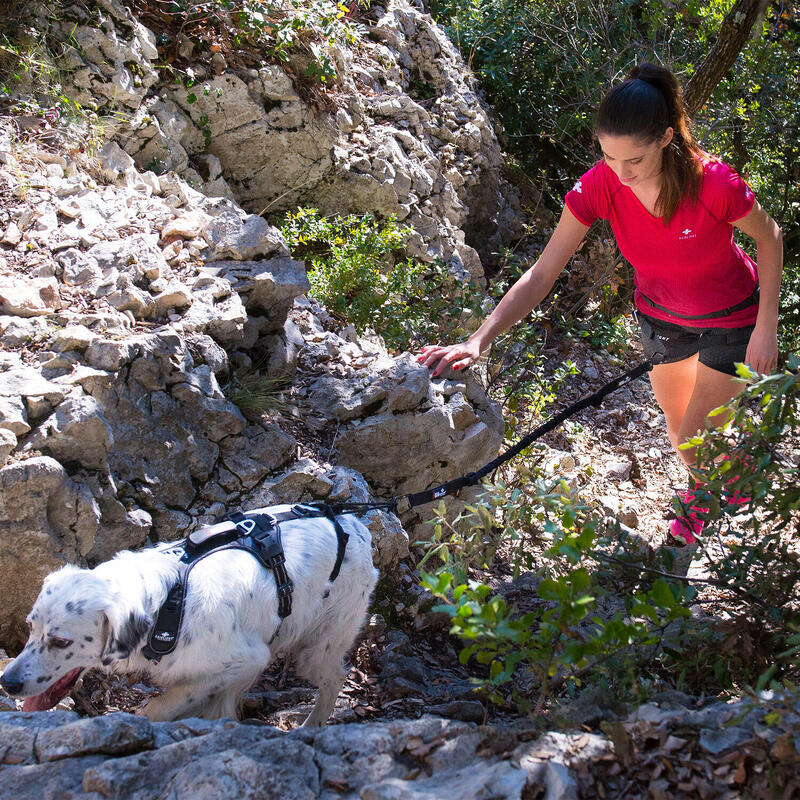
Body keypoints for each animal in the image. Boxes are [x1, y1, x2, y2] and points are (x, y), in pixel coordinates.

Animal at [0, 506, 378, 724]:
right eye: (31, 628)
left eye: (61, 641)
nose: (8, 682)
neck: (169, 605)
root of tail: (353, 523)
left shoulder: (245, 658)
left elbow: (160, 707)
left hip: (318, 646)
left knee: (334, 679)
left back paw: (312, 725)